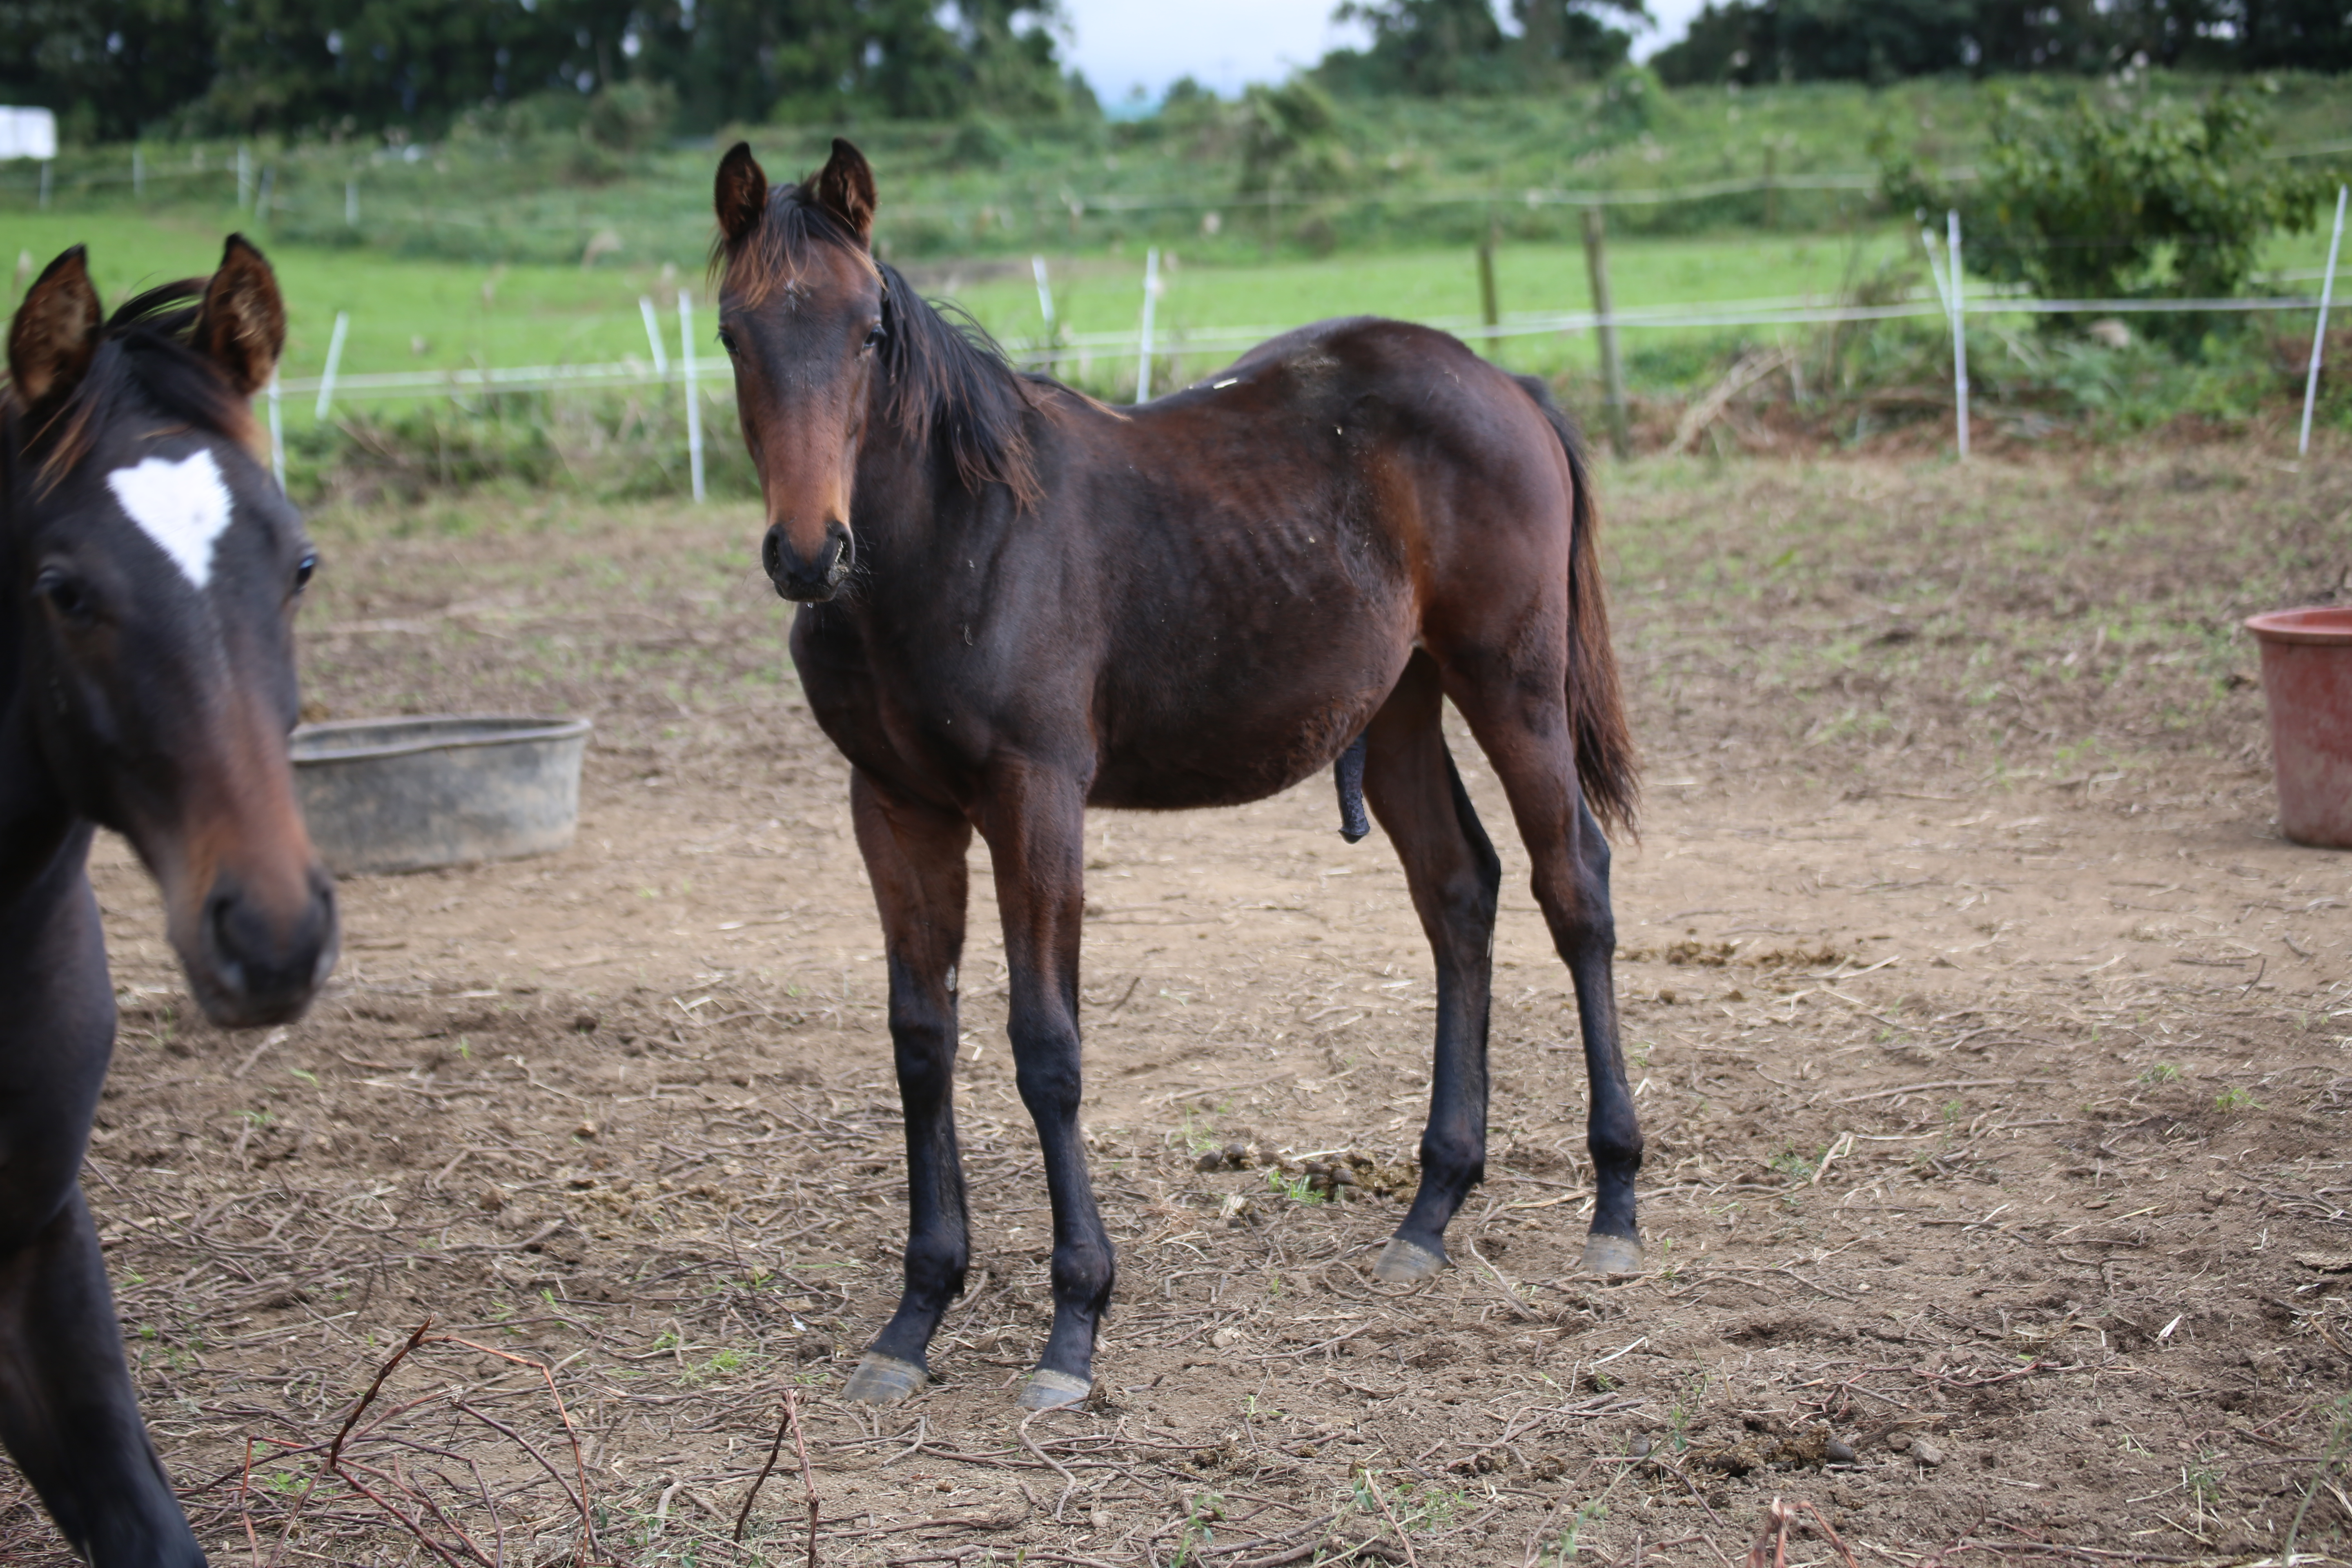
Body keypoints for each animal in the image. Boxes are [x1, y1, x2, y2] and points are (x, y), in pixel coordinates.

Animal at [706, 144, 1646, 1410]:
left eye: (868, 331)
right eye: (733, 332)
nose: (809, 554)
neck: (955, 542)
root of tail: (1501, 380)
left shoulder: (1035, 797)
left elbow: (1046, 1047)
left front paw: (1072, 1327)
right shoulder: (893, 807)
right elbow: (920, 1041)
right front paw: (912, 1318)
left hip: (1513, 683)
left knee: (1572, 886)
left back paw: (1614, 1205)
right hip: (1397, 703)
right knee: (1460, 891)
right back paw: (1429, 1211)